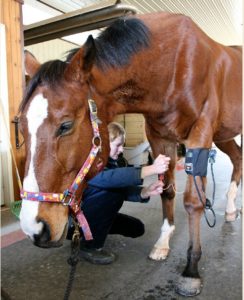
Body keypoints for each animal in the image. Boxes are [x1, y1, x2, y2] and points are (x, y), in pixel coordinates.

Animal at [19, 11, 242, 296]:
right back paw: (231, 209)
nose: (33, 227)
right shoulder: (160, 137)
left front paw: (191, 270)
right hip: (223, 135)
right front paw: (162, 243)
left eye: (65, 125)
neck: (173, 64)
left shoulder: (200, 134)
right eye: (20, 125)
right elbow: (167, 190)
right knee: (238, 158)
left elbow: (194, 201)